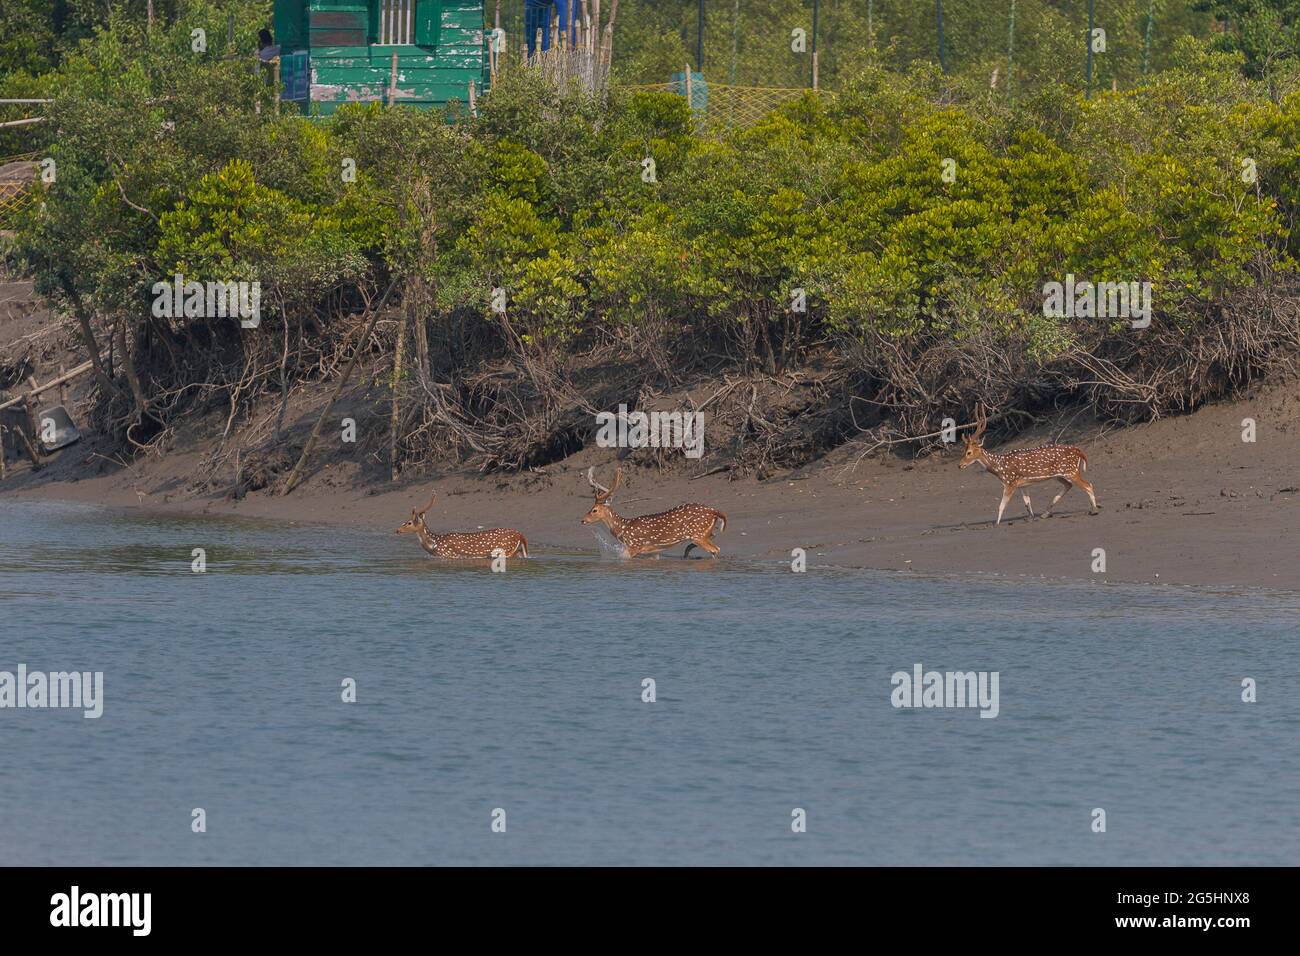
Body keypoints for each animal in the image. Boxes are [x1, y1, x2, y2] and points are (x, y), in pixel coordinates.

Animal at [390, 494, 527, 561]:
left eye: (409, 522)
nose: (397, 530)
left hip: (505, 550)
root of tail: (520, 534)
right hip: (516, 550)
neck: (434, 544)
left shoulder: (449, 554)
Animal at [582, 465, 728, 556]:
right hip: (705, 533)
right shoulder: (652, 551)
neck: (622, 528)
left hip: (697, 534)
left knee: (716, 550)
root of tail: (714, 511)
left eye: (594, 510)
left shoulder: (634, 546)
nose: (582, 520)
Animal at [956, 403, 1097, 528]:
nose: (959, 465)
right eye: (963, 450)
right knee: (1069, 485)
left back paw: (1094, 510)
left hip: (1071, 471)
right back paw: (1045, 514)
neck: (999, 468)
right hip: (1060, 475)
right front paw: (1031, 518)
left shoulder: (1010, 482)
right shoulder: (1023, 484)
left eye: (969, 452)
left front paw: (996, 524)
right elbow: (1027, 503)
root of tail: (1078, 450)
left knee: (1088, 485)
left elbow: (1002, 505)